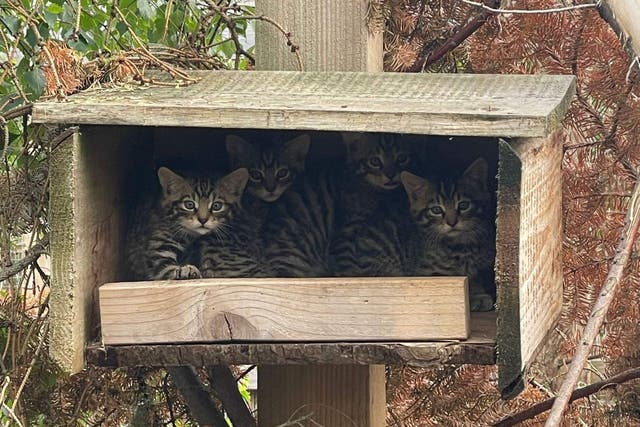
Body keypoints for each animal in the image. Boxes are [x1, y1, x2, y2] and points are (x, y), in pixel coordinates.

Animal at [402, 159, 498, 312]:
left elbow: (475, 276)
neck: (459, 246)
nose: (451, 222)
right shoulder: (425, 272)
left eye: (464, 205)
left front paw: (478, 294)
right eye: (436, 210)